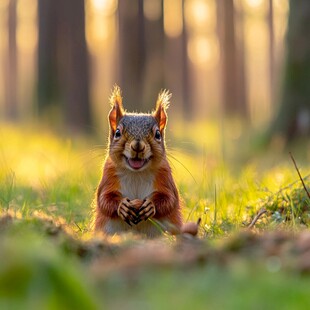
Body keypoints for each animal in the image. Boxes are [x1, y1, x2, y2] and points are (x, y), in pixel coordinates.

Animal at [94, 86, 182, 236]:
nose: (137, 146)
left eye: (157, 134)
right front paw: (122, 206)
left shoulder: (164, 175)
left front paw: (150, 206)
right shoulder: (109, 175)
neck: (137, 173)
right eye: (117, 133)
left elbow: (169, 199)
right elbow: (104, 199)